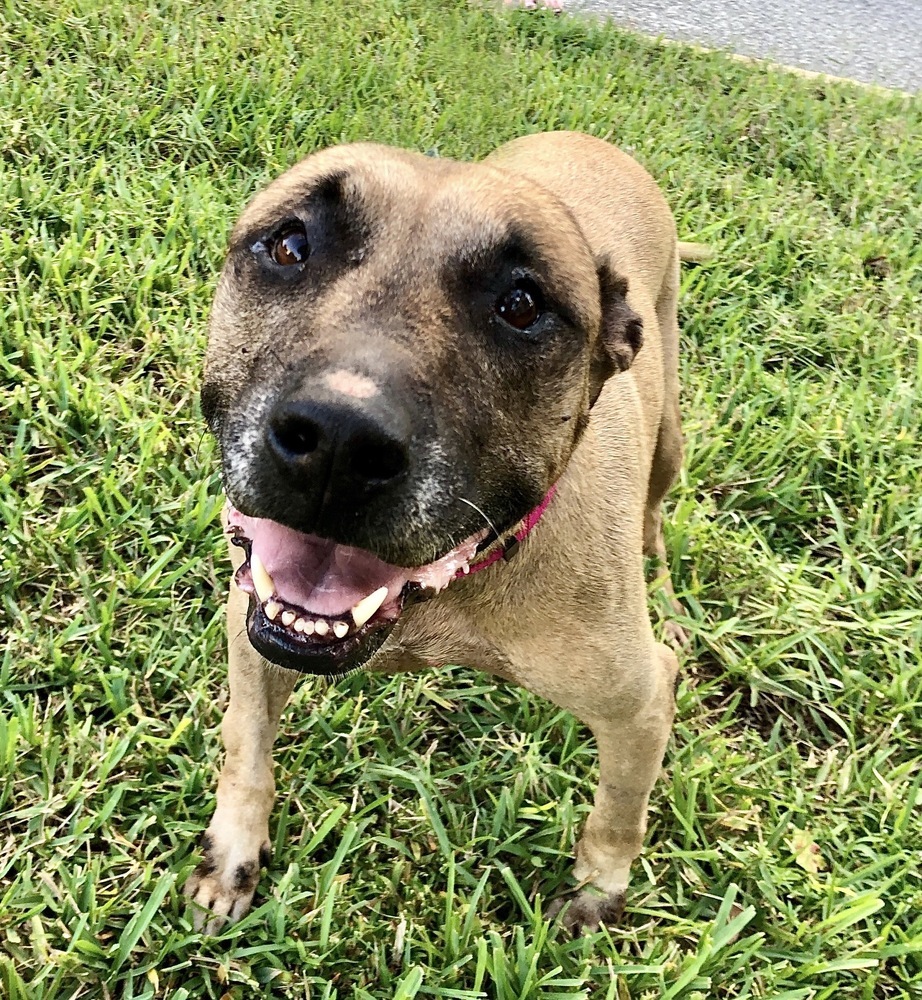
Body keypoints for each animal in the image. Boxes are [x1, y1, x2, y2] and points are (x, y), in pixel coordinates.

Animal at [187, 129, 688, 932]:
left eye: (522, 304)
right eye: (290, 245)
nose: (338, 443)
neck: (453, 587)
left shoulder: (638, 703)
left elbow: (618, 813)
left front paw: (597, 889)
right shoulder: (252, 618)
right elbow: (247, 751)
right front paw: (231, 854)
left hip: (670, 425)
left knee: (656, 509)